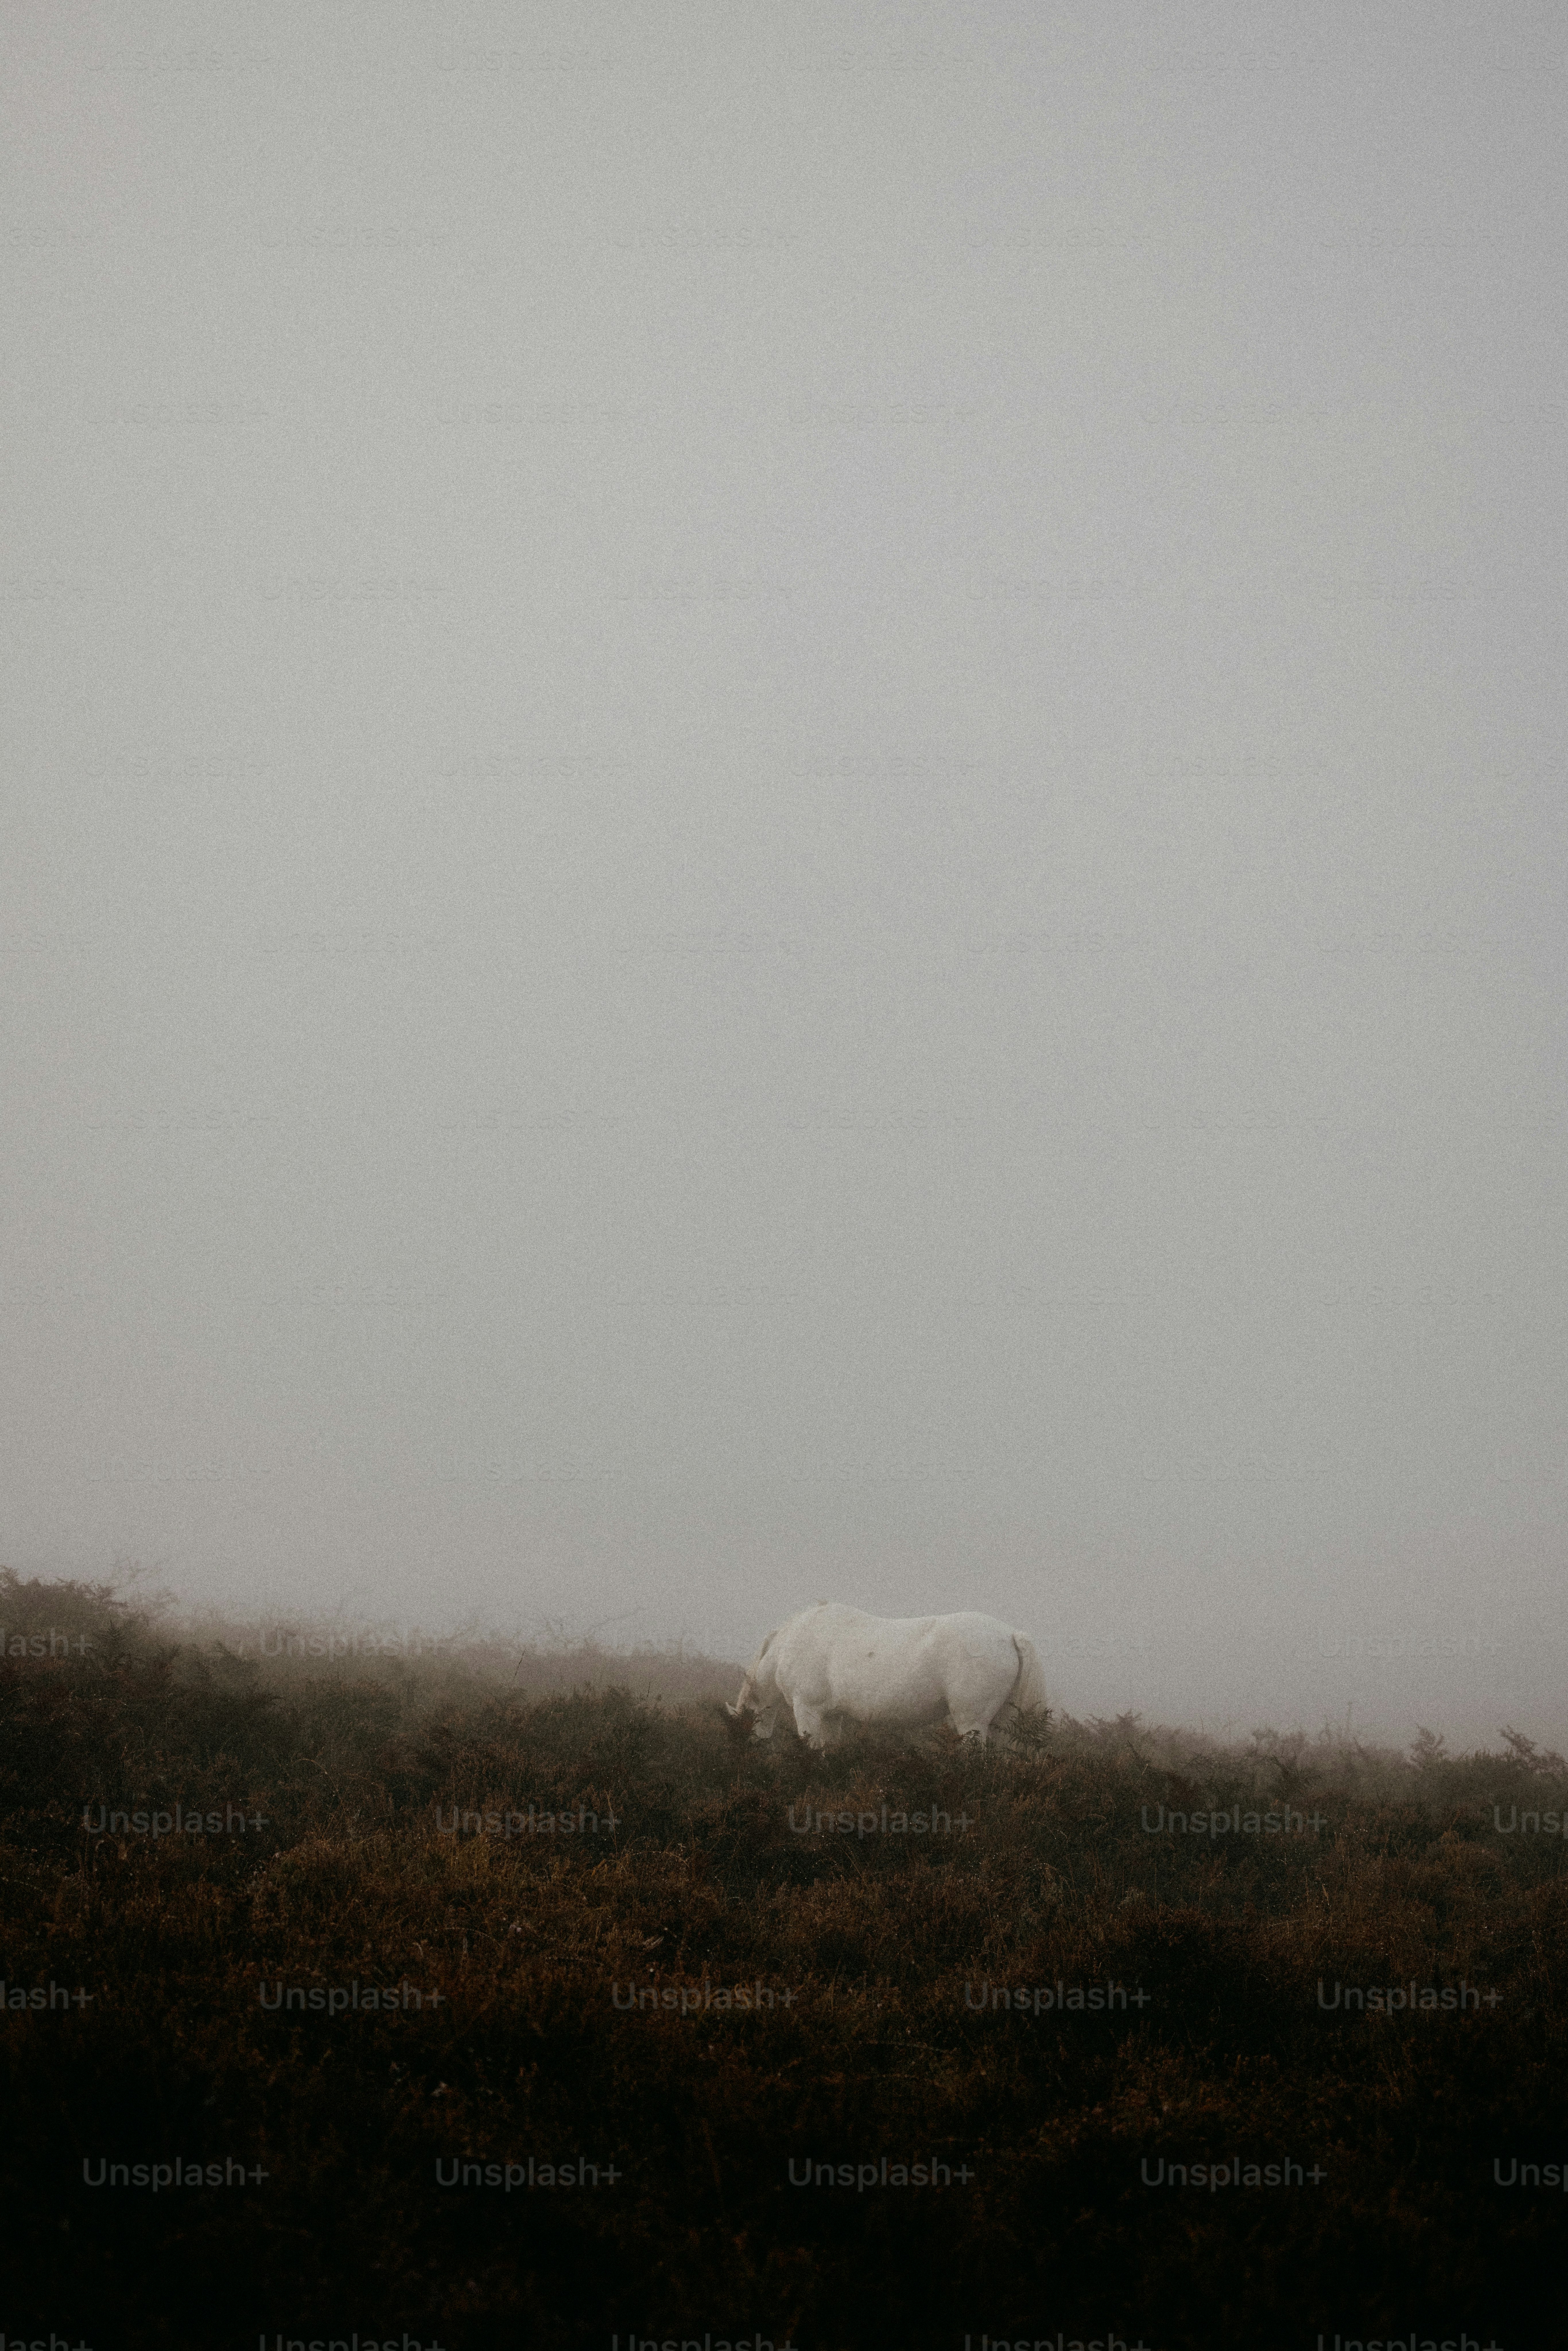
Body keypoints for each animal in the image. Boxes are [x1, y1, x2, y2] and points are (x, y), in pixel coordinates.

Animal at [727, 1601, 1048, 1748]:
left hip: (972, 1722)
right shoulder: (831, 1716)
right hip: (1003, 1722)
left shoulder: (807, 1709)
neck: (790, 1643)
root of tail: (1010, 1635)